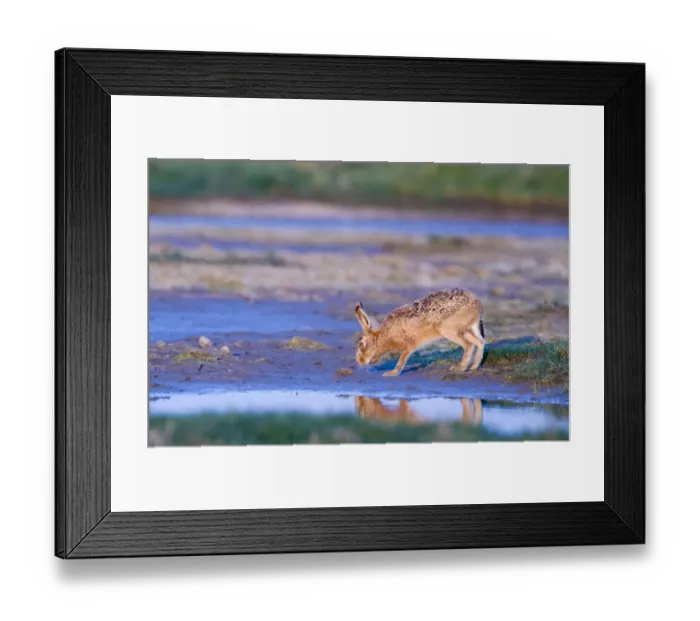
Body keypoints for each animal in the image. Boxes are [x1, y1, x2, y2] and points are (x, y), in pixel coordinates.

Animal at [354, 288, 485, 377]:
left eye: (361, 344)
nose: (360, 362)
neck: (383, 336)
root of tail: (477, 306)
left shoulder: (409, 345)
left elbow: (401, 361)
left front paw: (391, 373)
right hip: (463, 330)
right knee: (479, 343)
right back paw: (474, 367)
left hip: (448, 330)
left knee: (468, 345)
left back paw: (460, 368)